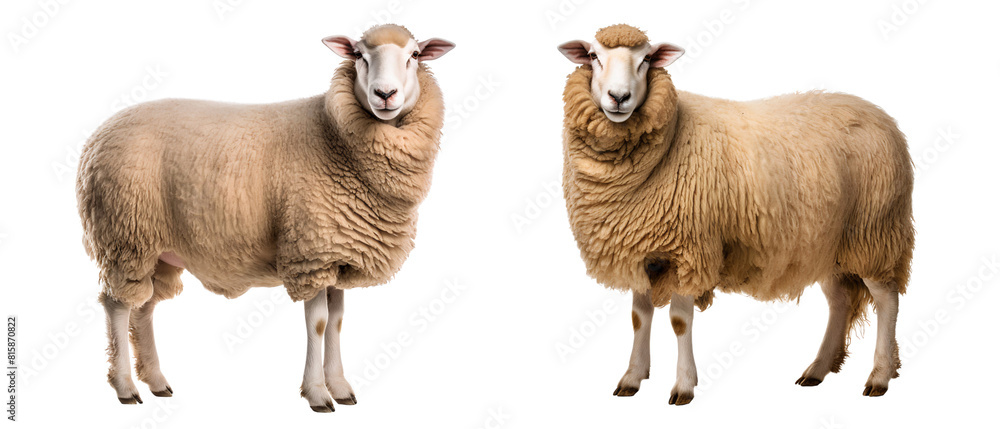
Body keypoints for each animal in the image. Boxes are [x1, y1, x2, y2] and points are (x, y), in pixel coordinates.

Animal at [75, 24, 454, 412]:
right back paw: (125, 387)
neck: (332, 134)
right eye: (359, 55)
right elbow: (319, 323)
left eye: (413, 55)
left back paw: (156, 381)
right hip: (123, 236)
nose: (385, 94)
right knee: (117, 305)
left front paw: (340, 387)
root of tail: (94, 139)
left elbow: (336, 322)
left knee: (144, 307)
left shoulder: (338, 252)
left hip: (157, 249)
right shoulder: (310, 252)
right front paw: (317, 393)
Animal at [558, 24, 914, 405]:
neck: (671, 138)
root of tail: (881, 116)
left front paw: (683, 386)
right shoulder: (641, 250)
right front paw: (632, 378)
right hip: (828, 242)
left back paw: (879, 376)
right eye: (593, 56)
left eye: (647, 59)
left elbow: (679, 321)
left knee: (887, 299)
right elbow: (640, 317)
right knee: (841, 300)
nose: (619, 97)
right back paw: (817, 370)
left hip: (874, 230)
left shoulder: (690, 249)